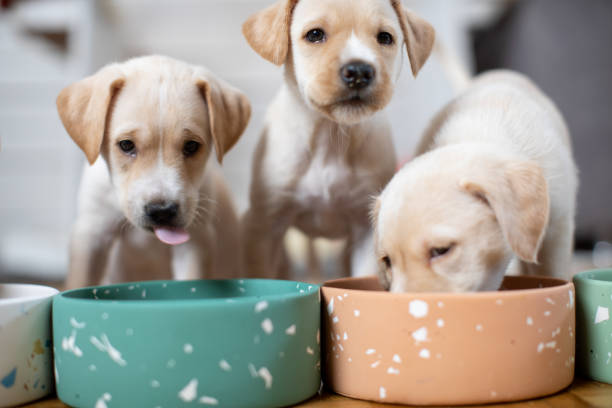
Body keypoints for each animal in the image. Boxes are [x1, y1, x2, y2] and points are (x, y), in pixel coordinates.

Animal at [55, 55, 251, 288]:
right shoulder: (91, 234)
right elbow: (79, 282)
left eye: (191, 146)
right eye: (126, 145)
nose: (162, 211)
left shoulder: (194, 242)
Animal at [239, 0, 436, 278]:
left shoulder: (365, 231)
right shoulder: (264, 226)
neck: (331, 137)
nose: (359, 71)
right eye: (314, 34)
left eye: (385, 38)